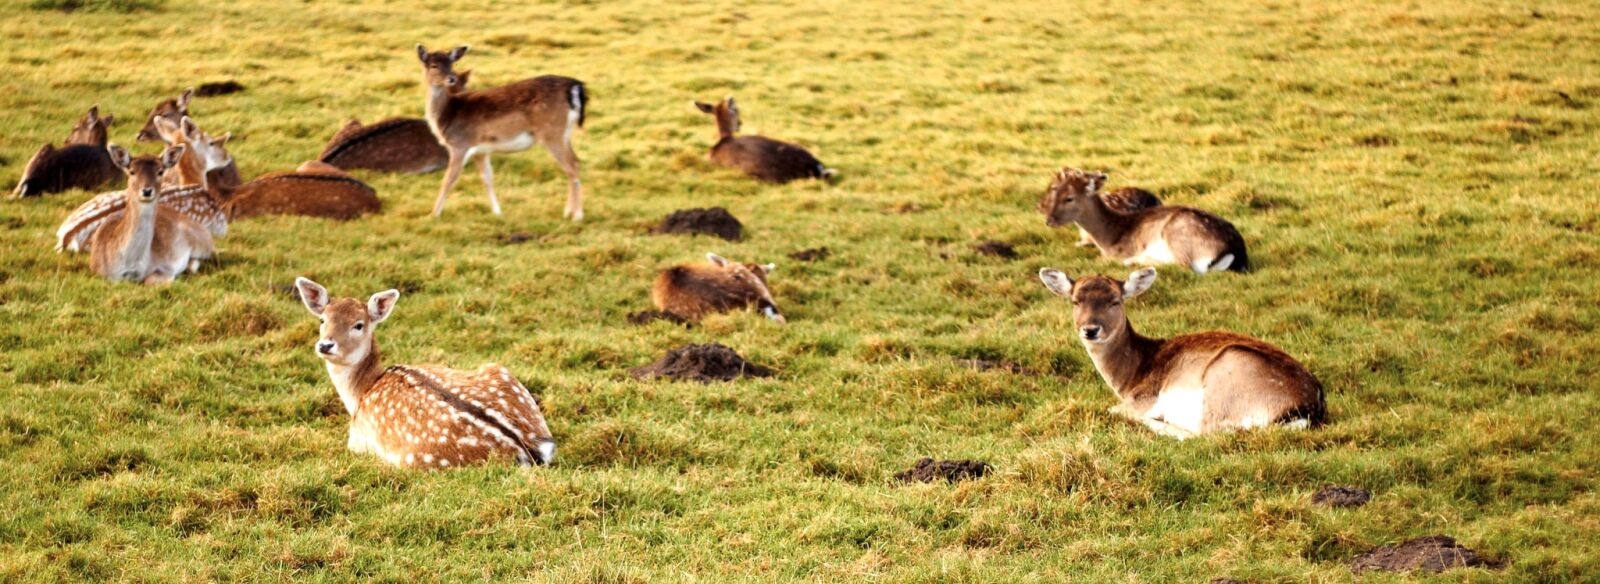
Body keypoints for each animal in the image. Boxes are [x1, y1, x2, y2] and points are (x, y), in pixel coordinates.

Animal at [89, 144, 214, 284]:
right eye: (132, 171)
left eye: (160, 171)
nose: (147, 191)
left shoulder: (165, 265)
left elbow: (150, 279)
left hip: (203, 242)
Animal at [293, 278, 557, 468]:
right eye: (322, 319)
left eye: (359, 324)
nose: (325, 345)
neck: (361, 393)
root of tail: (526, 447)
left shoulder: (356, 441)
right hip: (500, 370)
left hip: (415, 459)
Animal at [417, 45, 587, 219]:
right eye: (434, 65)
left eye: (451, 64)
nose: (451, 78)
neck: (446, 116)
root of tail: (574, 86)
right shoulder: (480, 150)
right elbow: (487, 177)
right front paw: (498, 212)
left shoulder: (459, 145)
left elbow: (448, 179)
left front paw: (433, 214)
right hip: (565, 133)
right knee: (575, 161)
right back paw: (567, 211)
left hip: (552, 132)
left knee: (572, 165)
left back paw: (577, 215)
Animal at [1037, 267, 1325, 438]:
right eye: (1075, 301)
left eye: (1115, 301)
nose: (1090, 329)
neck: (1130, 376)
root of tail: (1304, 410)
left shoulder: (1143, 398)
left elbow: (1113, 409)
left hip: (1226, 375)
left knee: (1203, 433)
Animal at [1039, 168, 1249, 274]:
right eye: (1054, 190)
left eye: (1069, 198)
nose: (1049, 220)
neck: (1108, 237)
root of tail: (1234, 252)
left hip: (1177, 234)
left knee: (1184, 266)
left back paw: (1135, 261)